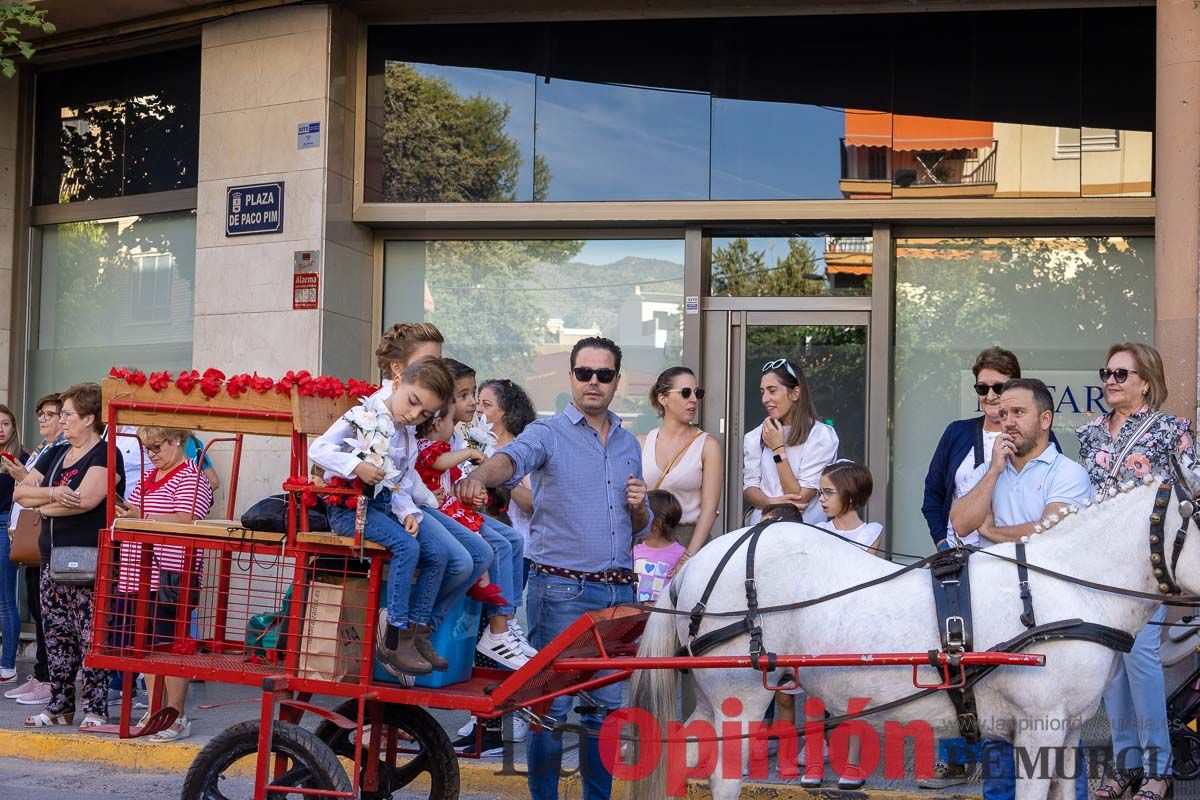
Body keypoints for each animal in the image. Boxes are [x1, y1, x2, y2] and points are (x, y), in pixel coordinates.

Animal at [628, 474, 1200, 800]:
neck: (1065, 588)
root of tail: (695, 563)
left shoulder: (1070, 729)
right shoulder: (1039, 727)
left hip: (712, 696)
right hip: (739, 698)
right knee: (722, 776)